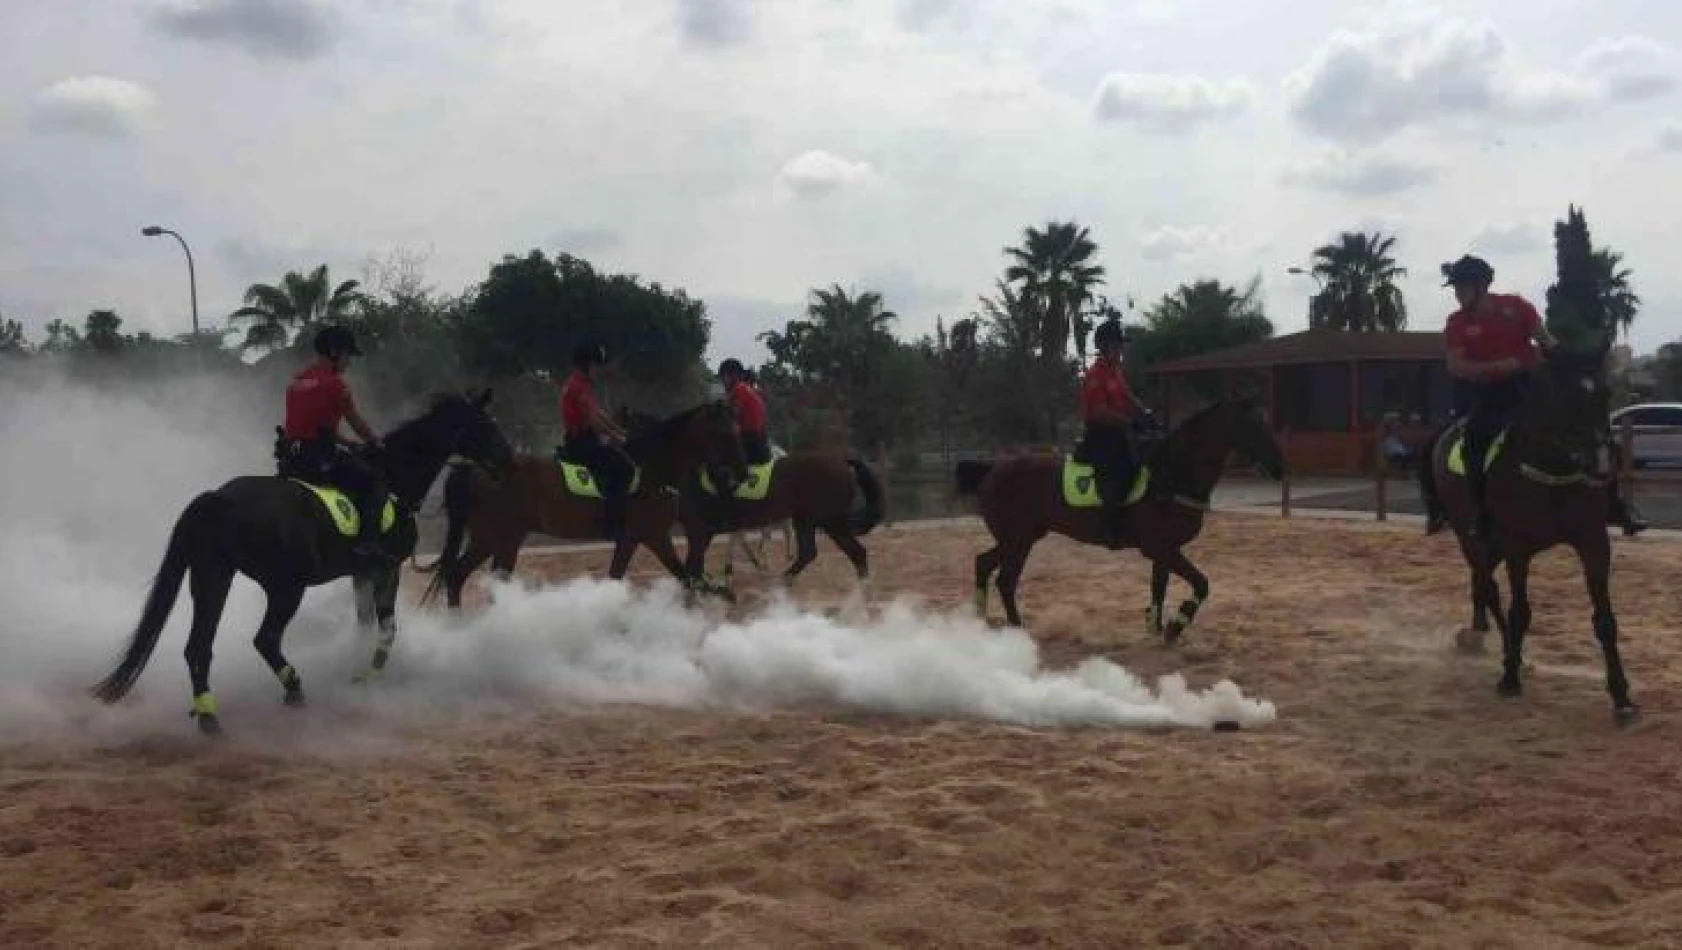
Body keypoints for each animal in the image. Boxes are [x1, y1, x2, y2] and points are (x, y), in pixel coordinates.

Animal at [413, 400, 750, 608]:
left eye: (737, 432)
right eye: (723, 433)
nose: (741, 472)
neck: (651, 469)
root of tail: (476, 469)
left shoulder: (631, 539)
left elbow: (619, 578)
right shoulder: (654, 536)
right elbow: (685, 577)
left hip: (488, 539)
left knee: (457, 576)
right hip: (505, 540)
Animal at [955, 393, 1278, 635]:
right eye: (1253, 425)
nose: (1278, 464)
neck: (1170, 474)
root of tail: (992, 469)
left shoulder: (1163, 550)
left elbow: (1159, 587)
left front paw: (1156, 627)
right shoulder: (1162, 548)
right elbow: (1201, 583)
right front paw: (1176, 625)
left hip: (1020, 538)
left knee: (983, 564)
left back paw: (980, 620)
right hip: (1018, 540)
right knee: (1005, 580)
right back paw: (1016, 629)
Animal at [1412, 344, 1634, 723]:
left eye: (1606, 393)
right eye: (1564, 397)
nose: (1601, 464)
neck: (1552, 467)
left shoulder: (1593, 543)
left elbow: (1605, 621)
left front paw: (1621, 697)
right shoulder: (1518, 549)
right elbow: (1520, 612)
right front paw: (1510, 678)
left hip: (1492, 547)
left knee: (1482, 587)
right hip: (1472, 540)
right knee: (1489, 589)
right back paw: (1507, 656)